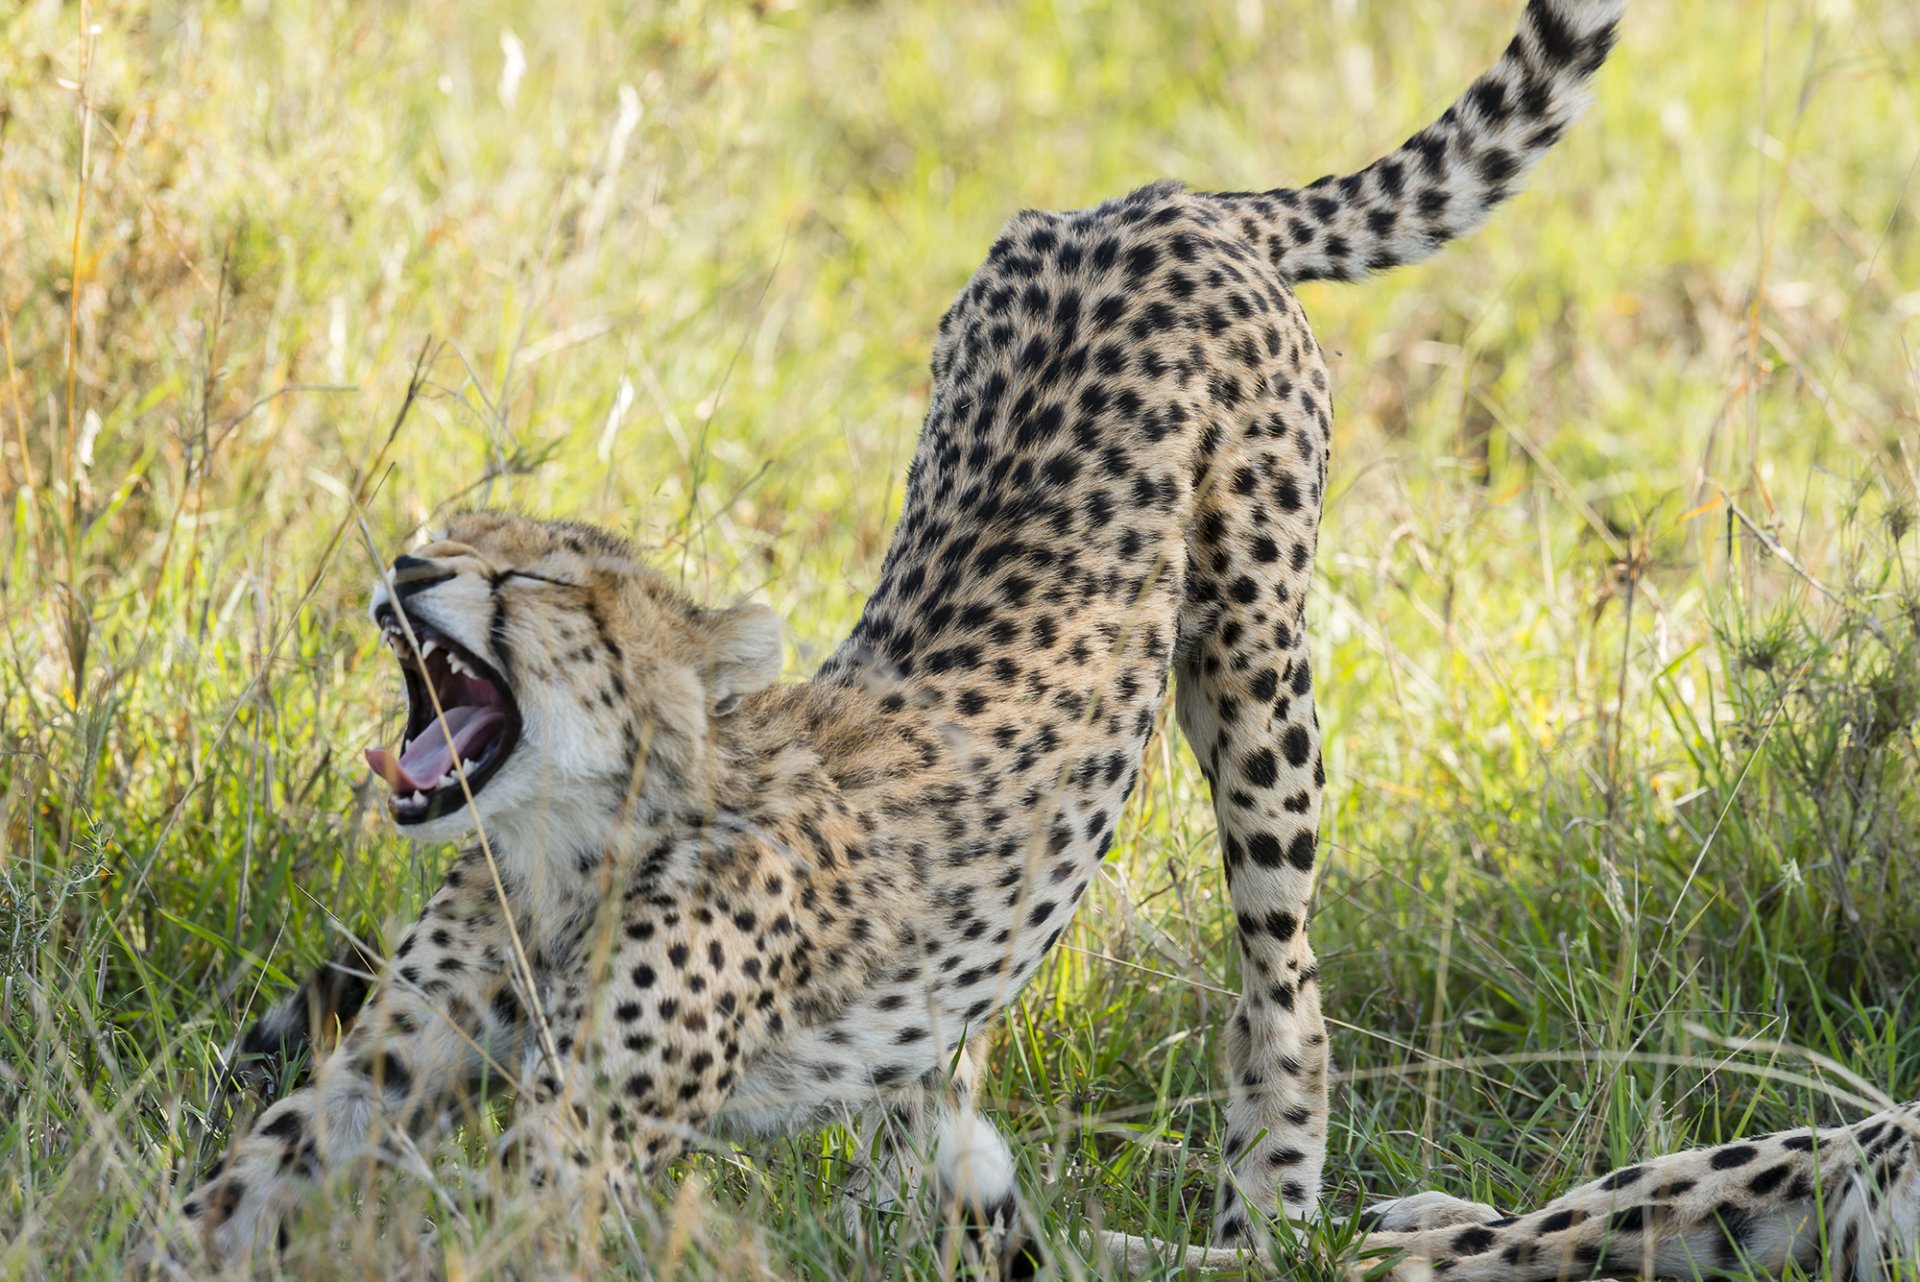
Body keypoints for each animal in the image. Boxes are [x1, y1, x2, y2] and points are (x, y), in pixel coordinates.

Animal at [175, 0, 1920, 1276]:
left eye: (541, 581)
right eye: (453, 529)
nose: (408, 563)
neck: (562, 853)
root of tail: (1151, 199)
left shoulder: (584, 1135)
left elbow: (469, 1225)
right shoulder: (385, 1068)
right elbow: (233, 1186)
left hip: (1255, 673)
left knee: (1284, 993)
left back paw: (1269, 1205)